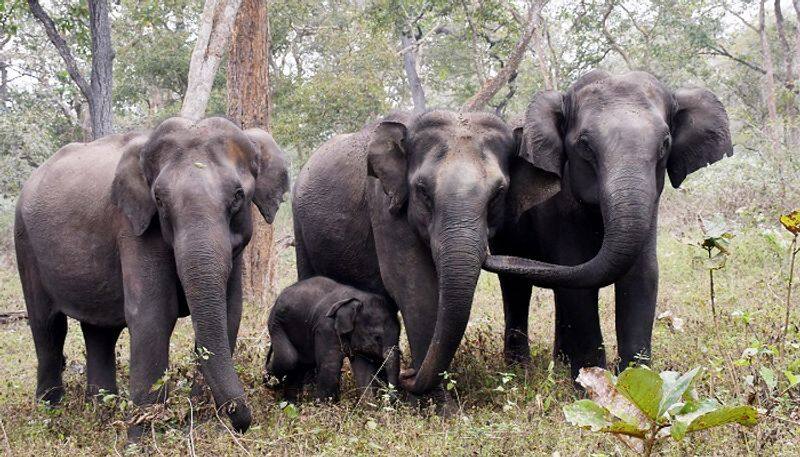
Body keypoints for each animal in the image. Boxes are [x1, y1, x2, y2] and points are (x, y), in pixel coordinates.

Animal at [14, 116, 290, 438]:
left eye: (238, 196)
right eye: (159, 199)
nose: (242, 420)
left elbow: (229, 312)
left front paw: (202, 423)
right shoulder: (134, 228)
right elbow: (153, 315)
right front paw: (143, 436)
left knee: (99, 332)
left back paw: (102, 411)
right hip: (25, 243)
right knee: (48, 327)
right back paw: (49, 415)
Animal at [266, 274, 400, 400]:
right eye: (376, 337)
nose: (390, 398)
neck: (358, 299)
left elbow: (364, 370)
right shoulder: (326, 329)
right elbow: (331, 365)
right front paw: (323, 404)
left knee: (301, 365)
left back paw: (290, 402)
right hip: (276, 323)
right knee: (288, 359)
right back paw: (270, 382)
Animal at [290, 108, 560, 398]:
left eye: (498, 193)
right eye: (422, 190)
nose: (407, 375)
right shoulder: (385, 205)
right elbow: (414, 288)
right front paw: (439, 404)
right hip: (300, 226)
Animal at [478, 70, 736, 378]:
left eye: (665, 143)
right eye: (585, 145)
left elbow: (642, 275)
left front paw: (636, 377)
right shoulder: (557, 207)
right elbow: (577, 280)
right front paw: (591, 379)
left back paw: (560, 362)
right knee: (517, 287)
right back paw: (522, 369)